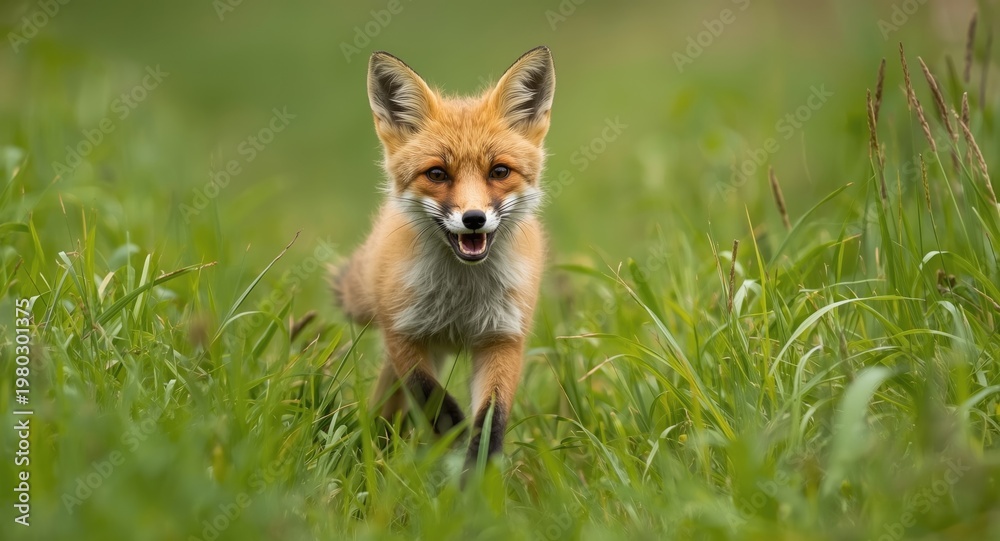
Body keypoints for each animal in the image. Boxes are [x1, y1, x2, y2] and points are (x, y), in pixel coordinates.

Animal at [332, 46, 556, 465]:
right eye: (437, 174)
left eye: (499, 171)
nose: (473, 219)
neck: (461, 299)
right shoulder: (401, 332)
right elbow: (431, 395)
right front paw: (453, 436)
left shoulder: (503, 339)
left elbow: (491, 418)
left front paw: (477, 473)